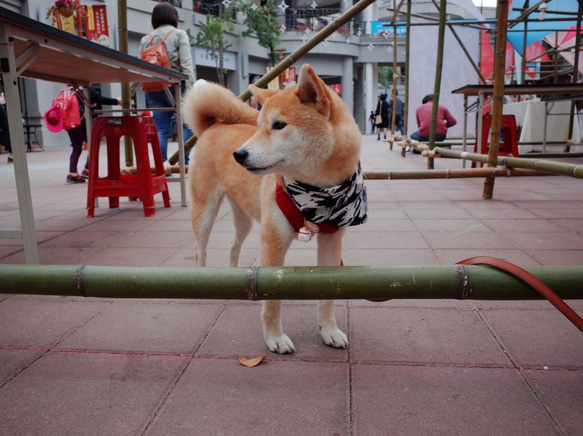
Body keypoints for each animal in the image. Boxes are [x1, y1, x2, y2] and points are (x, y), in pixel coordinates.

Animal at [184, 63, 364, 352]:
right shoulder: (273, 241)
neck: (322, 191)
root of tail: (214, 126)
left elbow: (328, 296)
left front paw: (329, 331)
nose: (238, 155)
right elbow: (272, 301)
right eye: (258, 126)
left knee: (233, 246)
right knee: (200, 251)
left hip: (244, 217)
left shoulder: (331, 241)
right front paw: (275, 338)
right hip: (205, 211)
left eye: (279, 125)